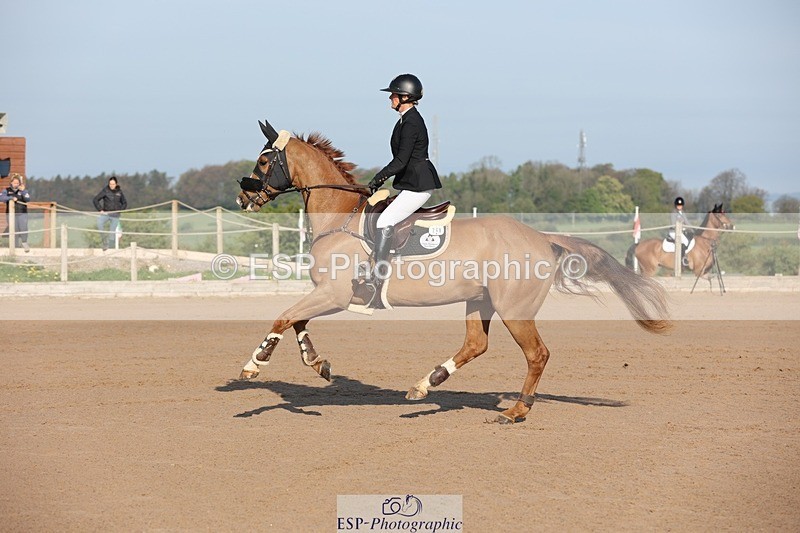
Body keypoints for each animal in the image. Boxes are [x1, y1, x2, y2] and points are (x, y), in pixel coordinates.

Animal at [235, 119, 672, 424]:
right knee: (476, 344)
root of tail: (542, 237)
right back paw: (425, 386)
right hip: (480, 301)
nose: (242, 198)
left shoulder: (335, 294)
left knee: (537, 354)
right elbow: (297, 321)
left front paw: (254, 365)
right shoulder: (327, 294)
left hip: (514, 309)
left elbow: (284, 317)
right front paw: (317, 363)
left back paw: (516, 411)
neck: (340, 216)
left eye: (263, 160)